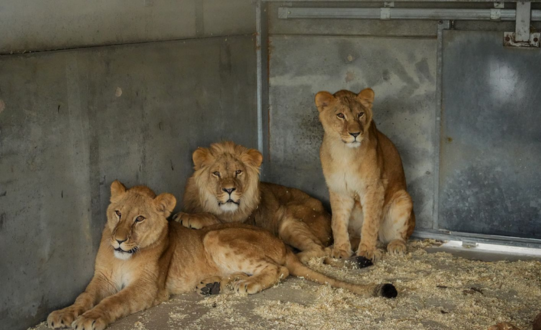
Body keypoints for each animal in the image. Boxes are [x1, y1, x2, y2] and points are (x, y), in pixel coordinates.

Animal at [47, 182, 396, 328]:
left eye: (139, 219)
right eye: (117, 213)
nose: (118, 241)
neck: (125, 257)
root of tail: (282, 244)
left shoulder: (148, 288)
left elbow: (114, 301)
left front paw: (89, 319)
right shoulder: (102, 279)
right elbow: (84, 297)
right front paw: (63, 314)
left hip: (215, 235)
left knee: (278, 269)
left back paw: (245, 284)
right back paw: (216, 284)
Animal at [314, 88, 416, 266]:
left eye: (360, 114)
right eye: (340, 115)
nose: (355, 133)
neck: (344, 153)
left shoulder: (374, 187)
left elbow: (370, 223)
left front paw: (367, 251)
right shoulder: (338, 190)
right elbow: (338, 223)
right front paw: (340, 250)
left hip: (403, 198)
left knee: (398, 235)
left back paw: (396, 245)